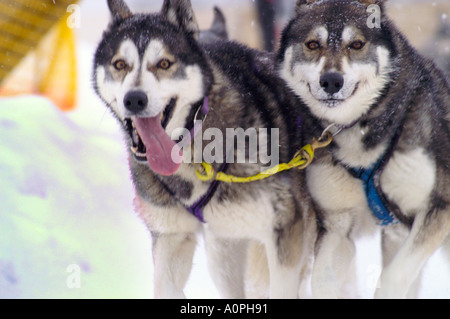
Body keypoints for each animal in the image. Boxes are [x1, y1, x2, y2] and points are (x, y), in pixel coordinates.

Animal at [94, 0, 312, 300]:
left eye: (164, 63)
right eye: (120, 64)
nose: (134, 99)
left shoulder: (285, 230)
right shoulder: (172, 237)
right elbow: (165, 285)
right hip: (223, 254)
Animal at [280, 0, 448, 300]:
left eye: (356, 44)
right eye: (313, 44)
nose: (331, 81)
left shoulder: (438, 210)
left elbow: (392, 278)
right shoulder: (336, 227)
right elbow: (322, 281)